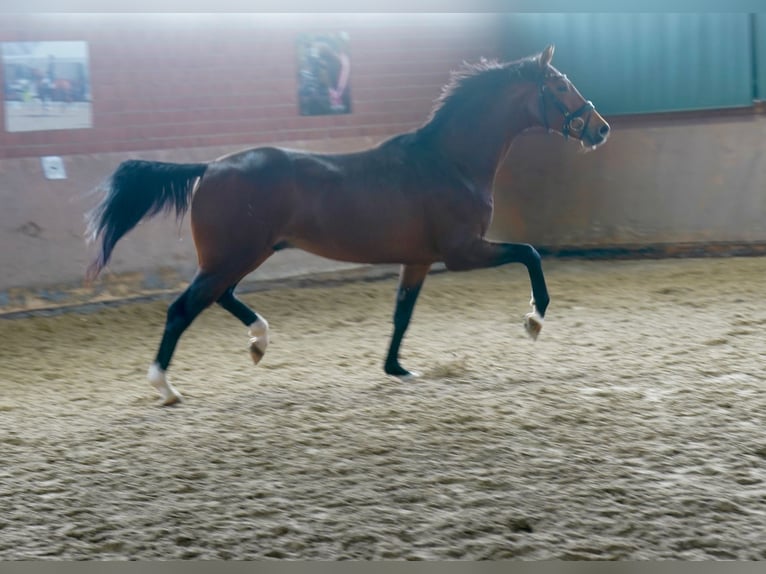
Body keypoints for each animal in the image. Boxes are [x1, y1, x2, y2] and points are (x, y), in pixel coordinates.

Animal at [85, 46, 612, 404]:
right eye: (560, 86)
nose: (601, 128)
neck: (448, 162)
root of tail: (209, 167)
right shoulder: (463, 251)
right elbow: (530, 253)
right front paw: (534, 319)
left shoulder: (419, 260)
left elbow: (402, 314)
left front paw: (398, 369)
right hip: (231, 256)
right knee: (183, 308)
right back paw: (166, 386)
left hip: (245, 254)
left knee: (221, 297)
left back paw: (259, 342)